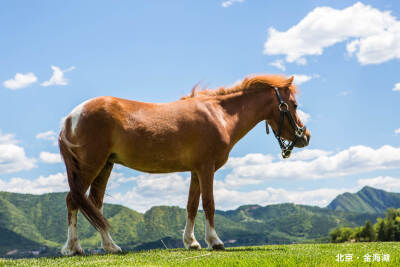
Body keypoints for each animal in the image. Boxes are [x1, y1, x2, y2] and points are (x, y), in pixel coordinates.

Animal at [58, 75, 310, 255]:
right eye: (294, 105)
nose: (305, 136)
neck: (219, 115)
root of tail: (70, 118)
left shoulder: (196, 171)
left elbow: (191, 205)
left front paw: (191, 242)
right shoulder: (206, 168)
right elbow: (209, 203)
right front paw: (214, 241)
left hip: (104, 167)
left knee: (93, 204)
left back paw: (105, 247)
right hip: (91, 166)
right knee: (73, 199)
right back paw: (74, 248)